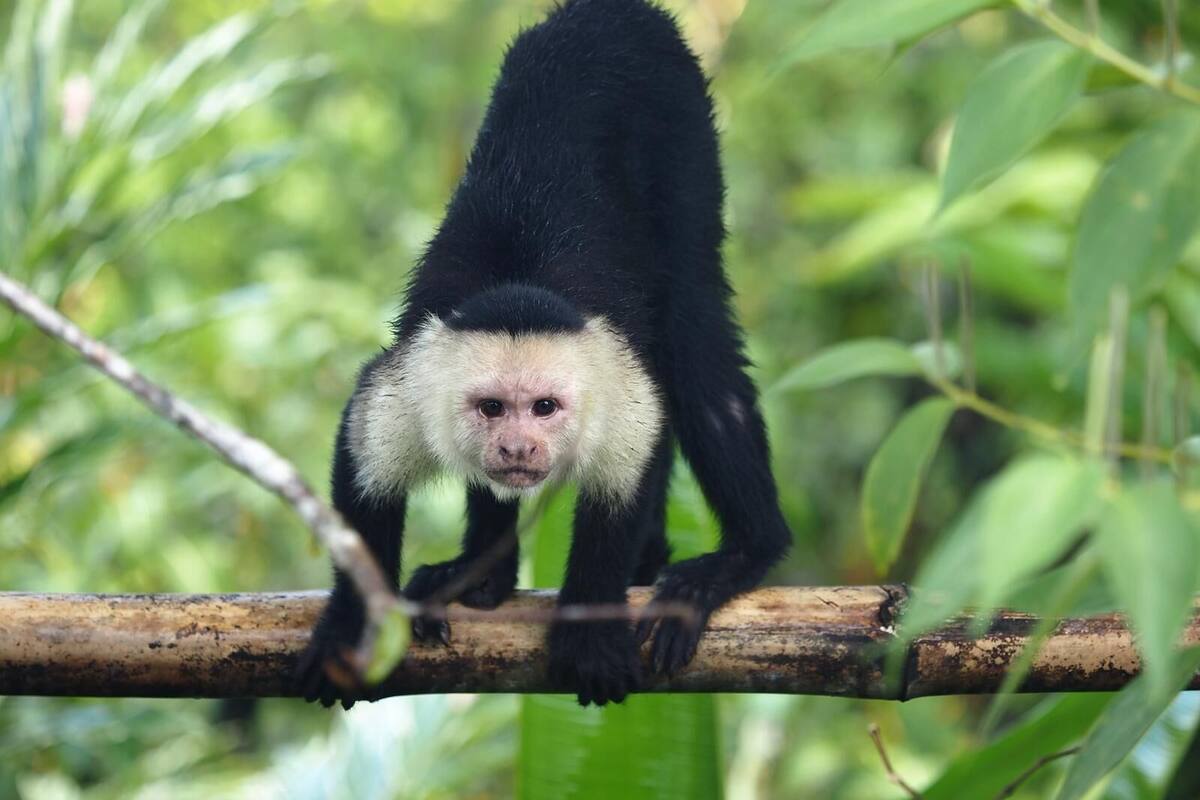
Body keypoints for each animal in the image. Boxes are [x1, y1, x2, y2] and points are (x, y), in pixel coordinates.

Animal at [295, 0, 792, 708]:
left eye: (547, 407)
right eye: (492, 409)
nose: (518, 448)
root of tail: (607, 12)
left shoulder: (614, 385)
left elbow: (630, 465)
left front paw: (590, 627)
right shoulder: (410, 386)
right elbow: (365, 465)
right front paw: (354, 623)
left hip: (683, 120)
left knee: (694, 339)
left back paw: (744, 554)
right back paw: (484, 574)